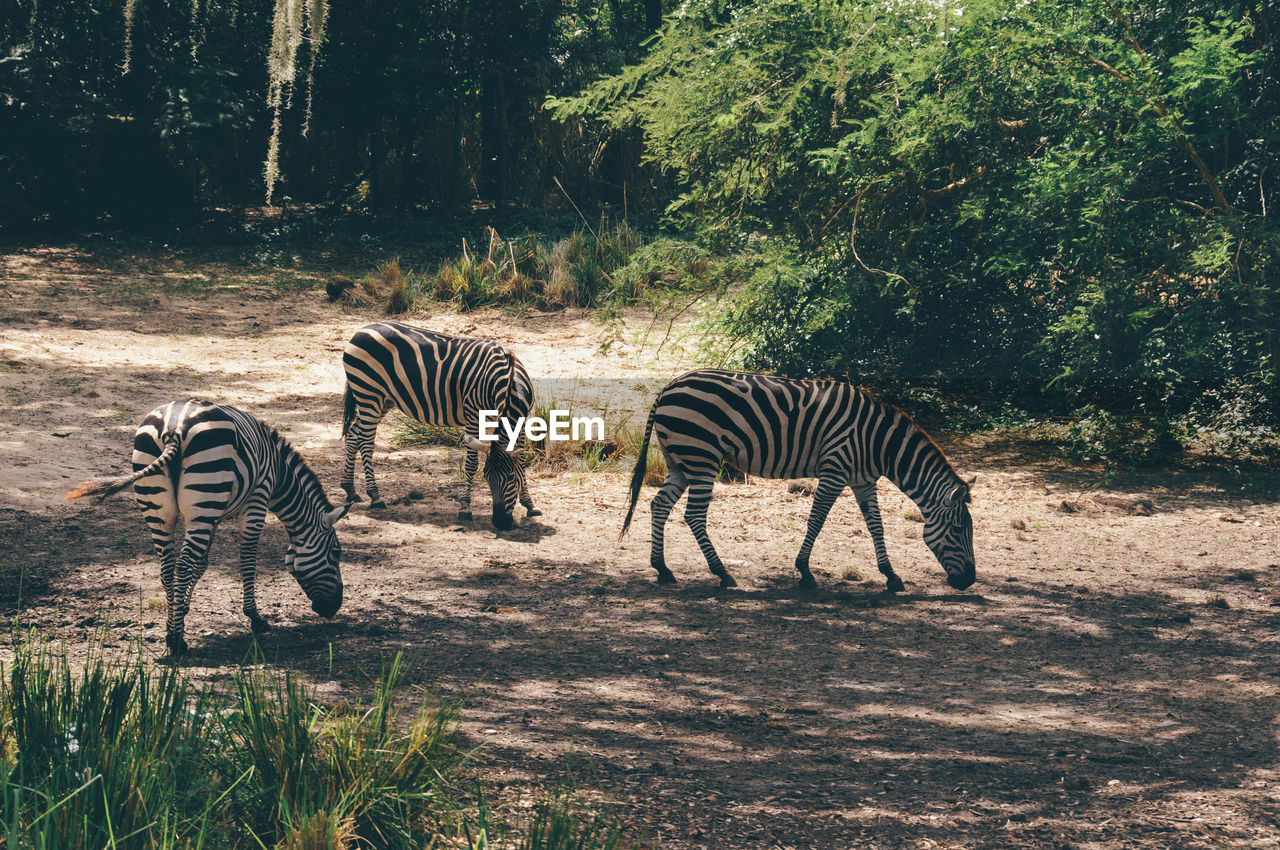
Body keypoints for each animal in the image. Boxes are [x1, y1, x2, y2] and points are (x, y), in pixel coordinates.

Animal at [65, 399, 350, 655]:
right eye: (336, 553)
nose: (333, 608)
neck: (279, 471)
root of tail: (173, 428)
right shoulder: (255, 502)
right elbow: (247, 561)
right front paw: (255, 618)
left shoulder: (211, 517)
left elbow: (201, 565)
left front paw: (180, 609)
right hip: (205, 490)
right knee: (181, 565)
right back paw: (177, 643)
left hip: (163, 510)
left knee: (169, 567)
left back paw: (172, 633)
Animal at [337, 320, 537, 527]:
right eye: (487, 478)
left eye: (511, 477)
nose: (500, 523)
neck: (508, 380)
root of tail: (362, 329)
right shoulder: (473, 414)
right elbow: (471, 464)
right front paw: (465, 508)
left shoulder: (523, 421)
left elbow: (522, 461)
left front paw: (529, 504)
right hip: (369, 394)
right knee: (366, 442)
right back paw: (375, 496)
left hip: (384, 400)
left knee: (354, 434)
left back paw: (350, 489)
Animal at [624, 368, 972, 593]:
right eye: (958, 530)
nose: (969, 581)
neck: (877, 441)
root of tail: (667, 387)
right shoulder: (835, 470)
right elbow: (816, 521)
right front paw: (805, 572)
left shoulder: (863, 480)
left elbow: (876, 526)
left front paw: (891, 575)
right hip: (702, 458)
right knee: (694, 515)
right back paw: (722, 573)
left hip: (681, 461)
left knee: (659, 506)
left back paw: (663, 569)